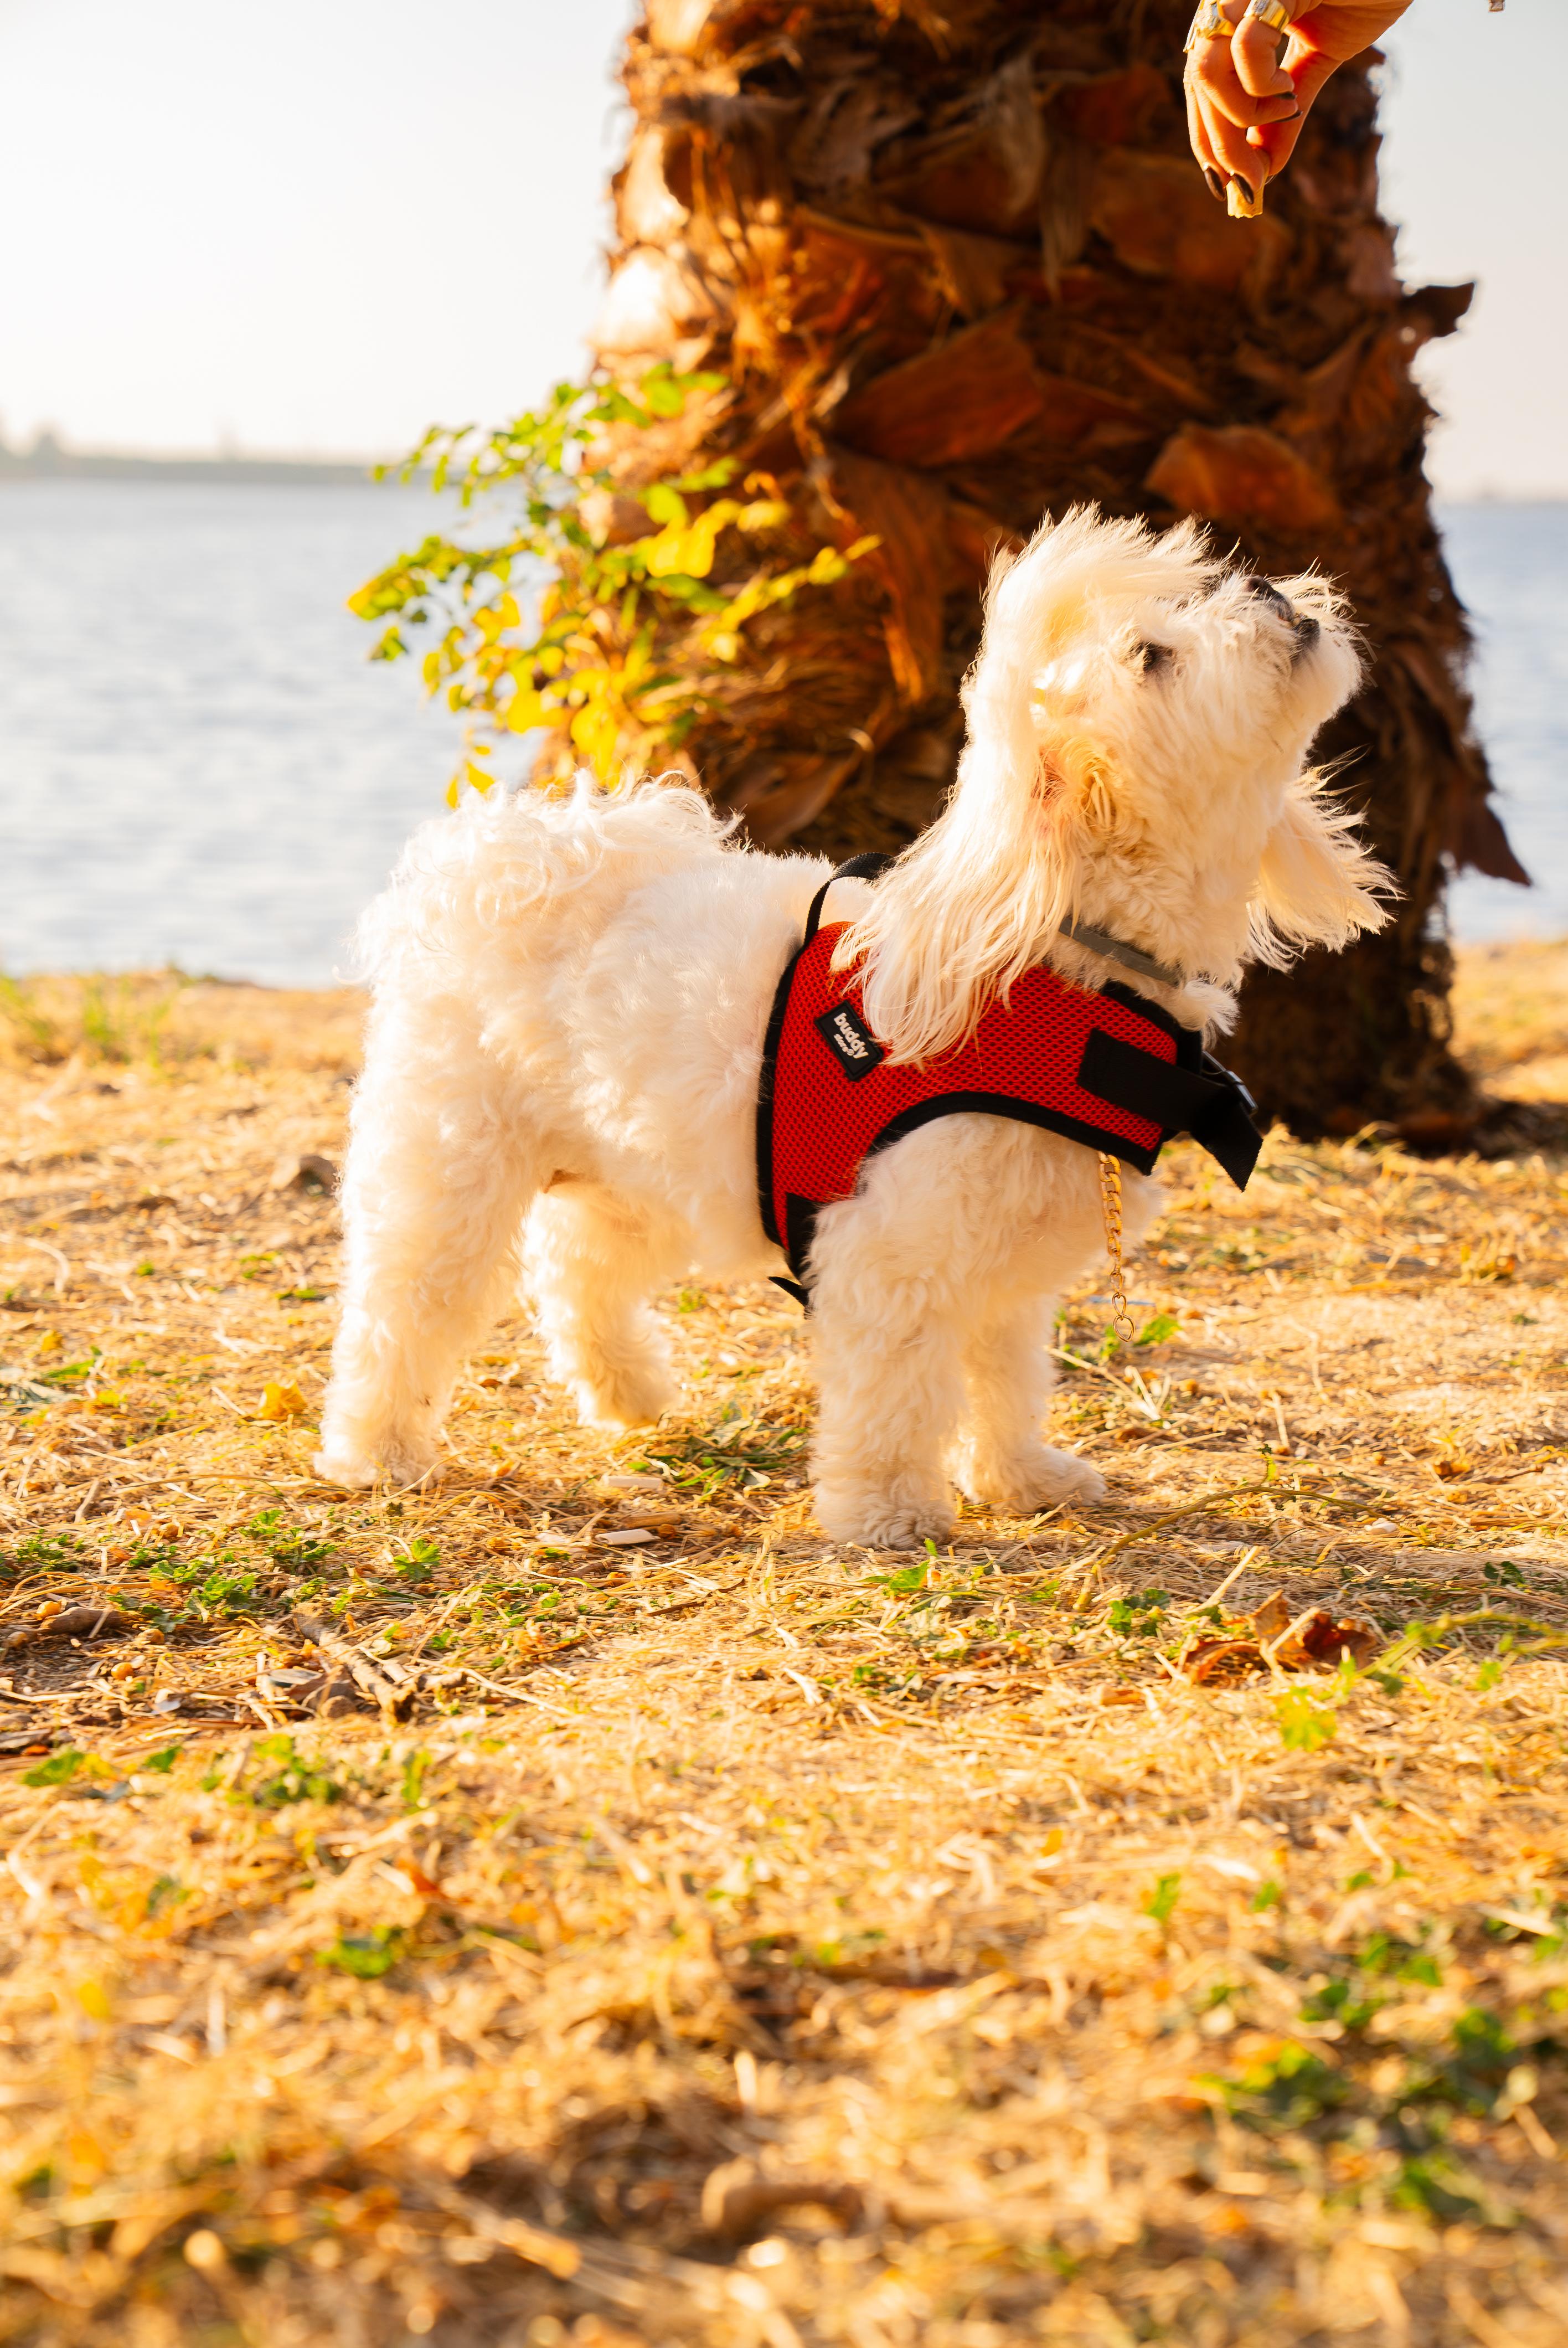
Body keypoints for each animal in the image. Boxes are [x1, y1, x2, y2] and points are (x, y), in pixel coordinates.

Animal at [314, 507, 1380, 1549]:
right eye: (1153, 655)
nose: (1266, 586)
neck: (1065, 960)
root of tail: (510, 858)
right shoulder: (890, 1251)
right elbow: (894, 1397)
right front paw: (888, 1512)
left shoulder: (1003, 1271)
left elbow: (1007, 1377)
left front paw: (1020, 1477)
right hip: (451, 1158)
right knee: (404, 1304)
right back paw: (377, 1450)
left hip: (646, 1169)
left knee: (577, 1265)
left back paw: (630, 1392)